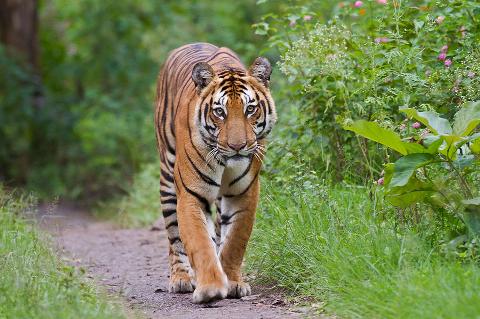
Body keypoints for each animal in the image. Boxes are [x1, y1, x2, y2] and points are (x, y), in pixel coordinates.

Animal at [154, 43, 274, 304]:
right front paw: (210, 288)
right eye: (220, 112)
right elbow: (199, 242)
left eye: (250, 109)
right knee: (174, 236)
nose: (238, 146)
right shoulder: (190, 196)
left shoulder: (244, 194)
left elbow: (234, 242)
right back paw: (181, 279)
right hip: (167, 179)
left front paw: (234, 282)